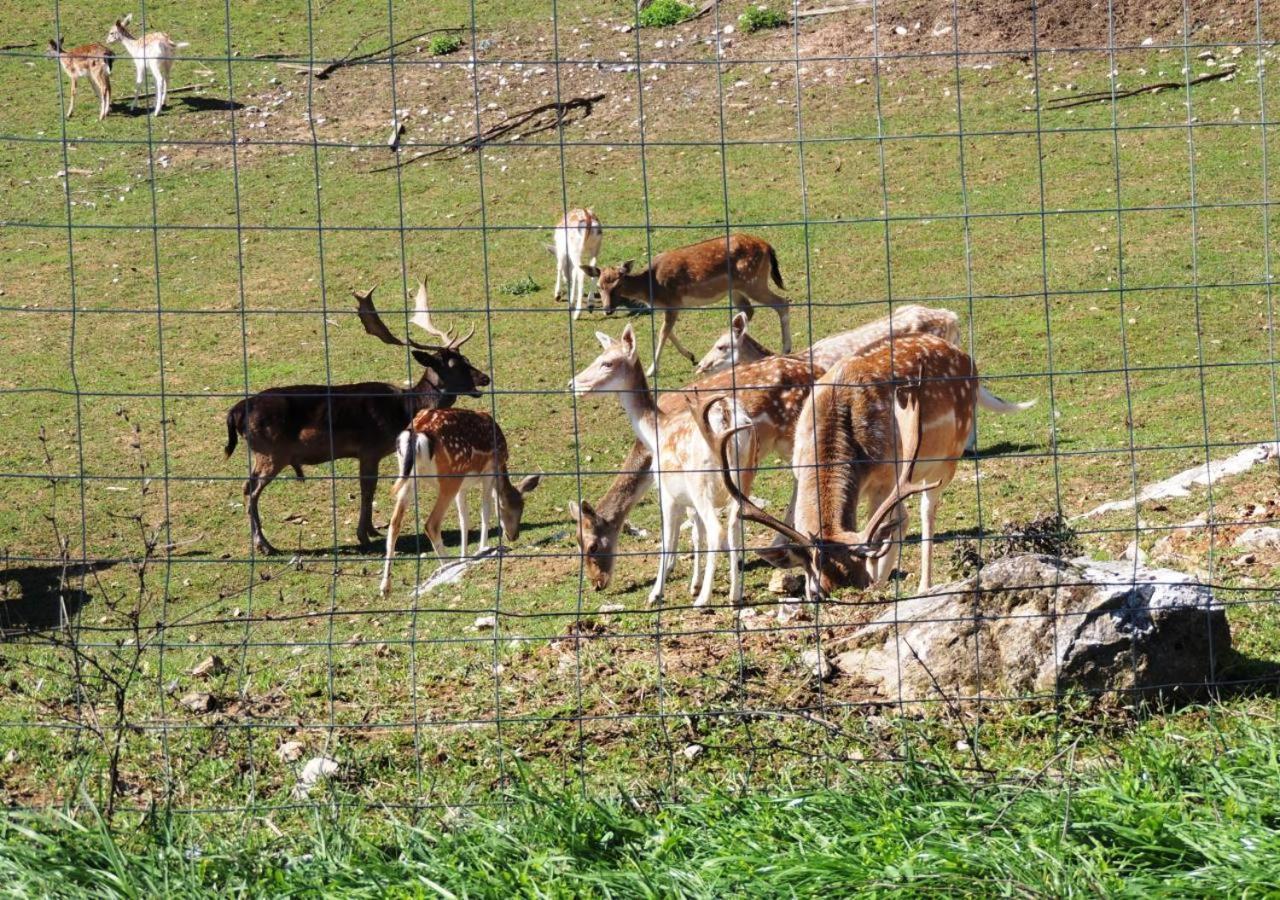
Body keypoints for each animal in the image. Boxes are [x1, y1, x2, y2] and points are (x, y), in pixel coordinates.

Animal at [222, 280, 486, 555]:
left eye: (466, 358)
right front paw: (364, 536)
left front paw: (371, 530)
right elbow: (367, 488)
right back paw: (264, 545)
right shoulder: (370, 448)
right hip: (271, 451)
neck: (404, 409)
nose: (485, 378)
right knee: (250, 490)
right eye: (454, 365)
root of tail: (236, 411)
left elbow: (369, 489)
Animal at [568, 323, 762, 604]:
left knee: (717, 530)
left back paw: (703, 600)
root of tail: (726, 419)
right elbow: (695, 533)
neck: (654, 433)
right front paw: (693, 583)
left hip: (702, 483)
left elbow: (668, 539)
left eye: (607, 362)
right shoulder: (686, 498)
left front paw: (656, 592)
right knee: (735, 526)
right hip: (744, 477)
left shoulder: (667, 492)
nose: (572, 383)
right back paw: (735, 594)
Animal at [701, 335, 977, 601]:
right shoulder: (797, 466)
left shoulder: (887, 479)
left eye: (860, 580)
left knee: (925, 510)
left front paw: (878, 581)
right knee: (906, 518)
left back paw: (923, 586)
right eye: (816, 594)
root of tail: (965, 356)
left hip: (948, 458)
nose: (860, 588)